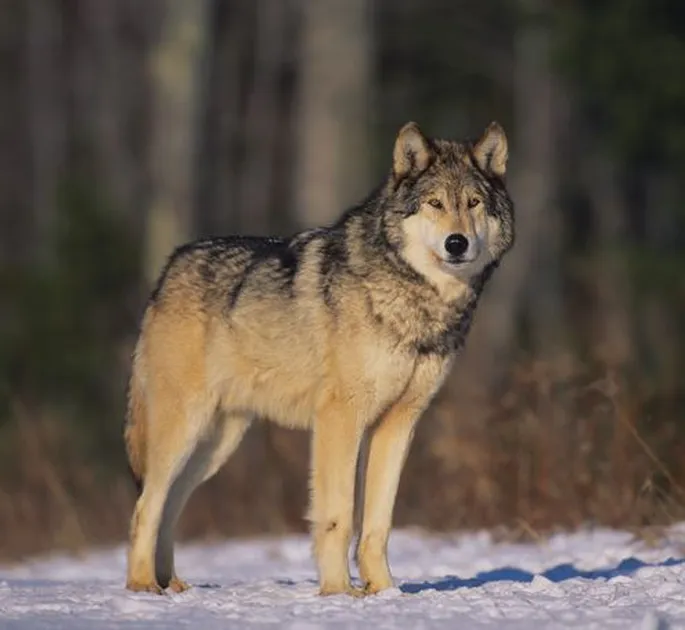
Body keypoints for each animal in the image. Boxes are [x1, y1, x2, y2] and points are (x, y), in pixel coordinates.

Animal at [124, 121, 512, 600]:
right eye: (435, 203)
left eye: (473, 203)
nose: (457, 243)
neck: (415, 299)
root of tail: (167, 271)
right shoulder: (340, 418)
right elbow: (338, 516)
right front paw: (339, 592)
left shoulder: (398, 423)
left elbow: (378, 524)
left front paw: (385, 592)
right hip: (184, 430)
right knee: (146, 506)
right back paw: (143, 585)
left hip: (216, 445)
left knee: (170, 508)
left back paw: (172, 584)